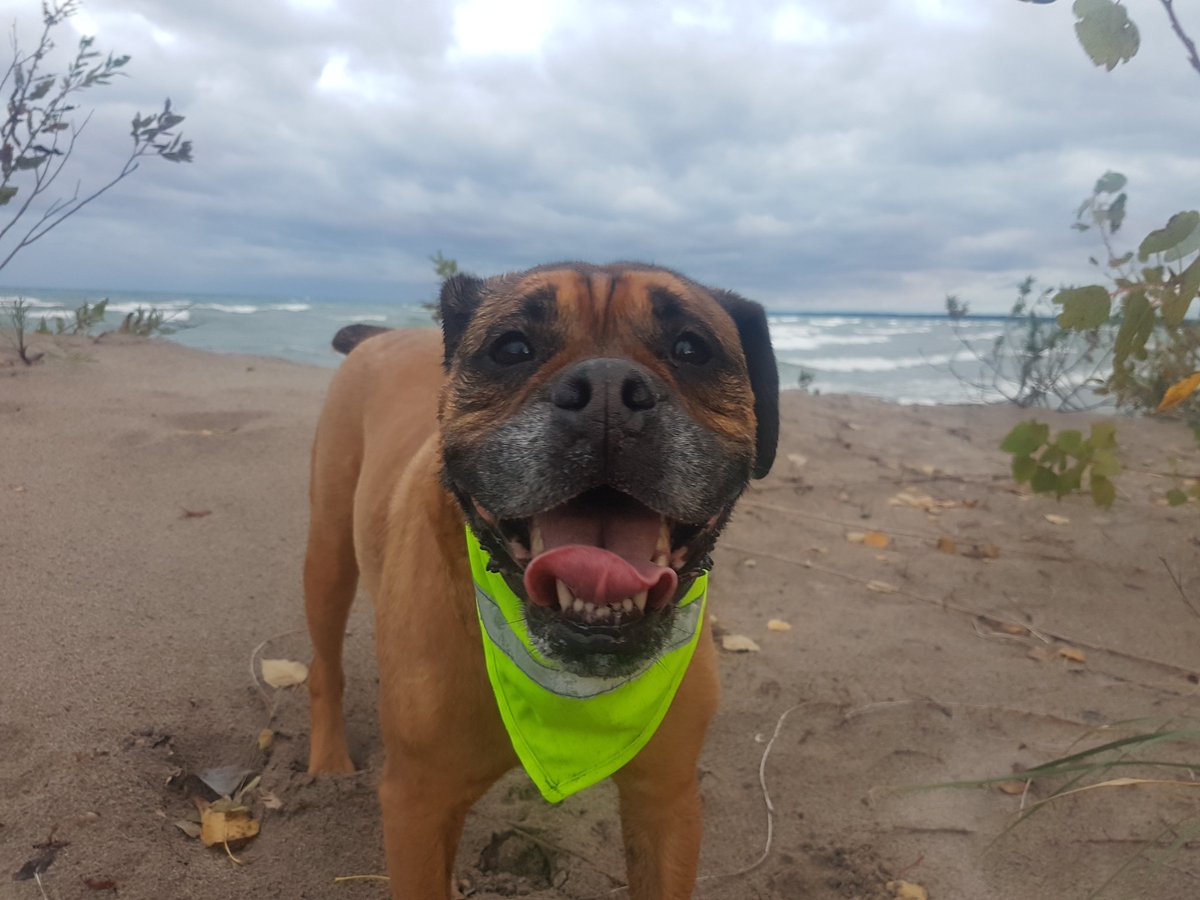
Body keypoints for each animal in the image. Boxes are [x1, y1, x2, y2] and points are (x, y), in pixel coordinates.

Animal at [304, 262, 782, 900]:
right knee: (323, 666)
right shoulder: (418, 809)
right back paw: (328, 763)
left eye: (690, 348)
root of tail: (384, 334)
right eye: (512, 348)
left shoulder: (668, 804)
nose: (607, 388)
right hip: (328, 556)